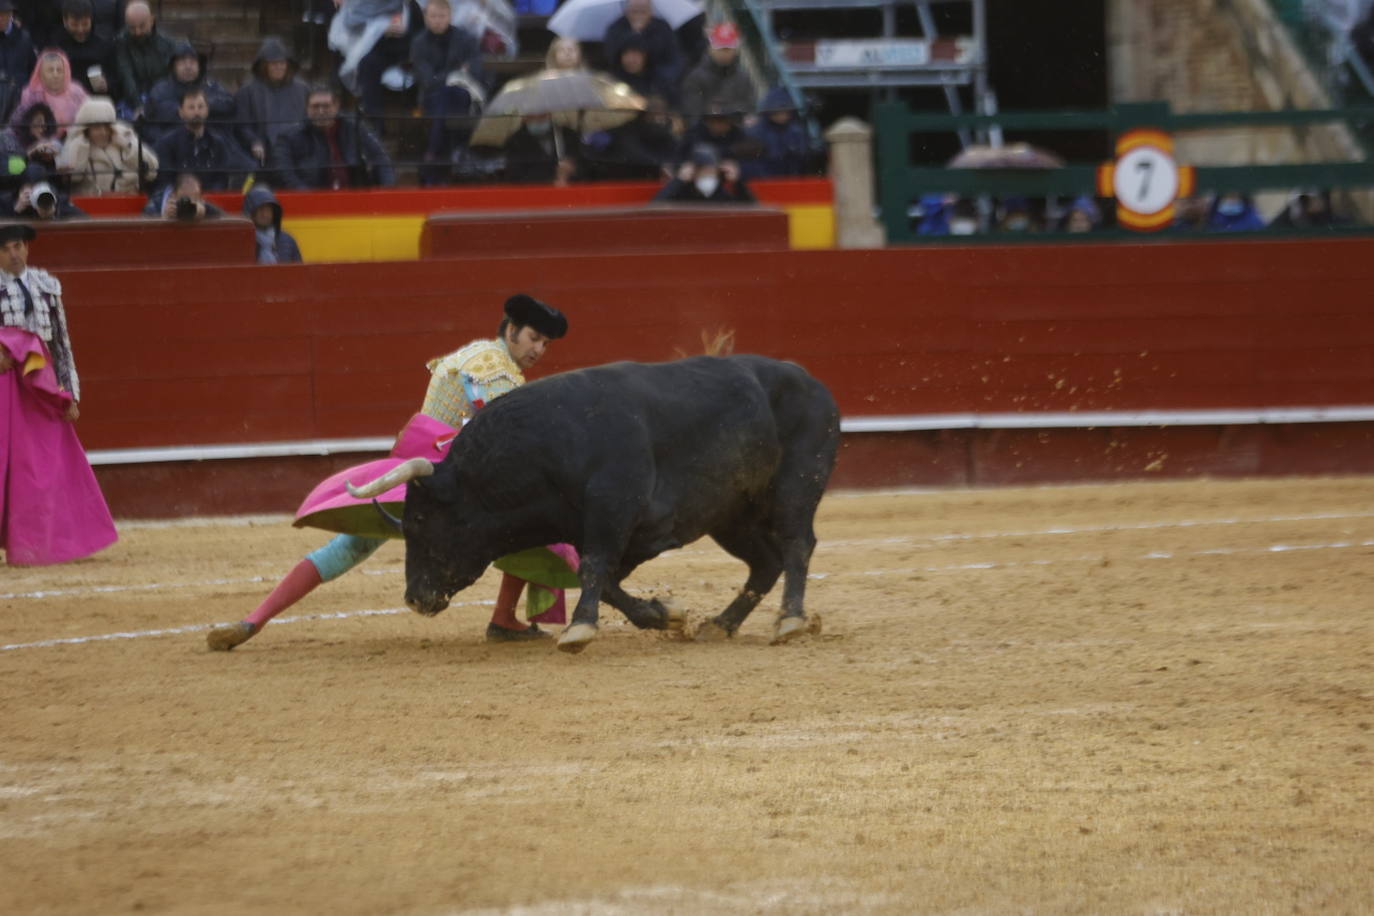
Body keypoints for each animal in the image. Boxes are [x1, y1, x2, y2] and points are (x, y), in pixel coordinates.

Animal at [392, 357, 835, 650]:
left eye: (418, 519)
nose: (413, 597)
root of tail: (812, 382)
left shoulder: (615, 514)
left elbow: (593, 569)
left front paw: (578, 630)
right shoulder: (613, 532)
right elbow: (602, 579)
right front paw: (665, 614)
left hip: (796, 486)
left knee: (797, 544)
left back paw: (790, 620)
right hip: (731, 515)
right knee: (766, 563)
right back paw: (721, 624)